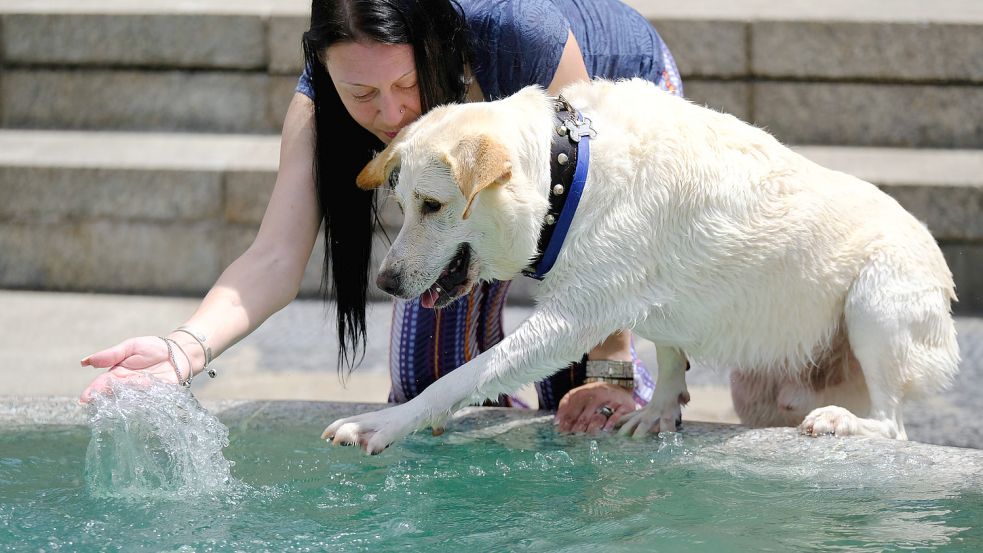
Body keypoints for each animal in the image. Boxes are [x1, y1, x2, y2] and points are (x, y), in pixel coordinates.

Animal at [324, 80, 960, 454]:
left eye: (432, 206)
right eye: (401, 204)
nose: (385, 282)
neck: (567, 172)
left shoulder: (569, 321)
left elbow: (462, 377)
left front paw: (384, 424)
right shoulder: (651, 304)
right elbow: (671, 355)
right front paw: (657, 413)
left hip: (876, 303)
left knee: (895, 424)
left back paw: (841, 423)